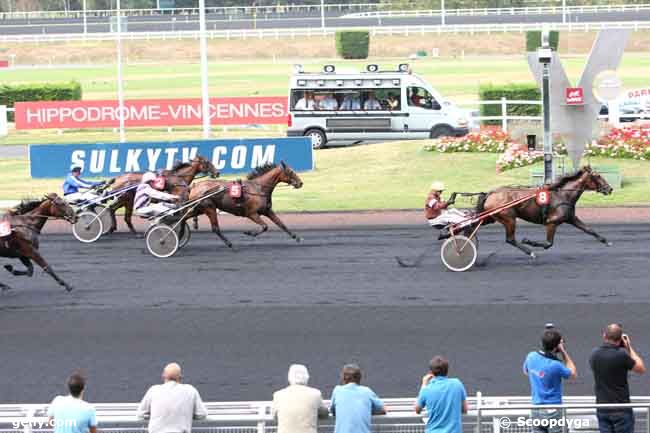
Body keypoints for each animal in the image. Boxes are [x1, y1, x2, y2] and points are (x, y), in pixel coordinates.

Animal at [474, 166, 612, 256]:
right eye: (598, 176)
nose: (609, 189)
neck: (562, 195)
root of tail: (491, 193)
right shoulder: (552, 222)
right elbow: (548, 243)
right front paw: (529, 241)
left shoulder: (571, 218)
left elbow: (589, 230)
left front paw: (606, 241)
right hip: (509, 218)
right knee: (510, 239)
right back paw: (530, 252)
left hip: (491, 217)